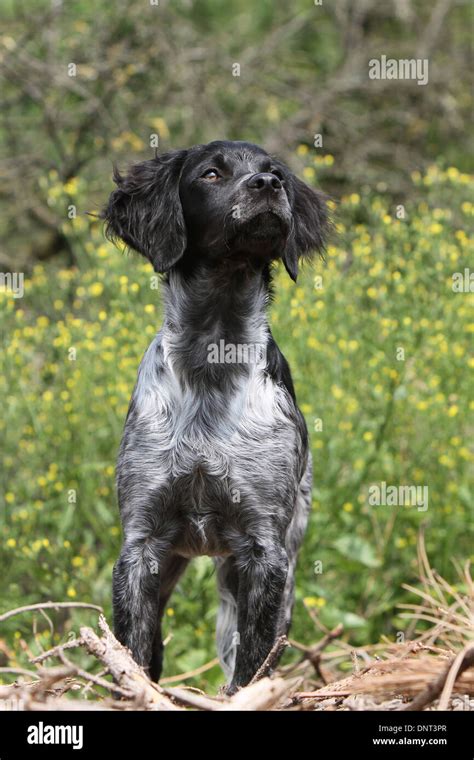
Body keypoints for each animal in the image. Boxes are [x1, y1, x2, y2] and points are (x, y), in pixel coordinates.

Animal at [102, 140, 328, 692]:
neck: (212, 355)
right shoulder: (141, 546)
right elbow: (134, 655)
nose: (267, 186)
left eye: (274, 172)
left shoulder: (264, 551)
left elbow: (252, 663)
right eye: (210, 174)